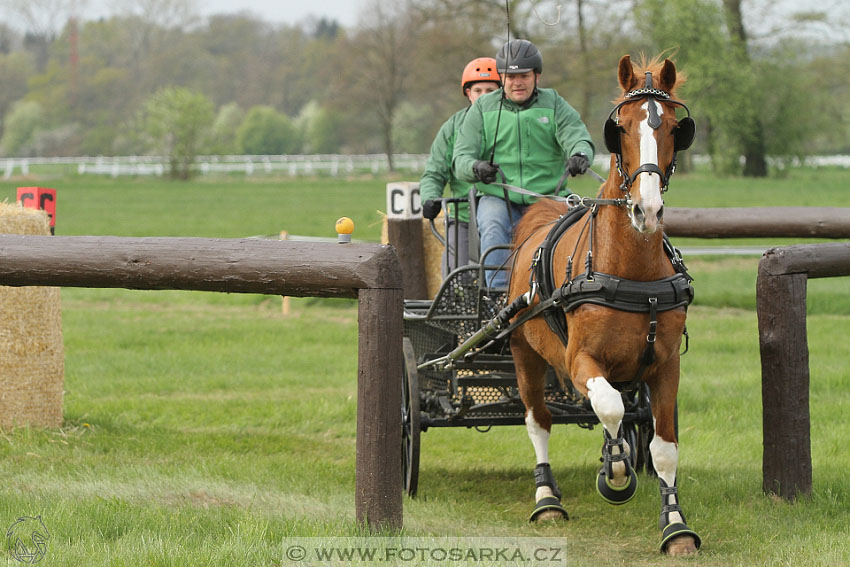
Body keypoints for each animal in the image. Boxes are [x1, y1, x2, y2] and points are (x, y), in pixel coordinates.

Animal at [506, 56, 700, 556]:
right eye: (622, 127)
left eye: (675, 129)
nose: (646, 211)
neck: (631, 274)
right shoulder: (580, 360)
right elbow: (609, 406)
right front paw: (614, 468)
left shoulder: (666, 366)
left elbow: (664, 448)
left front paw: (675, 525)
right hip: (524, 352)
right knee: (538, 421)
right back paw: (547, 498)